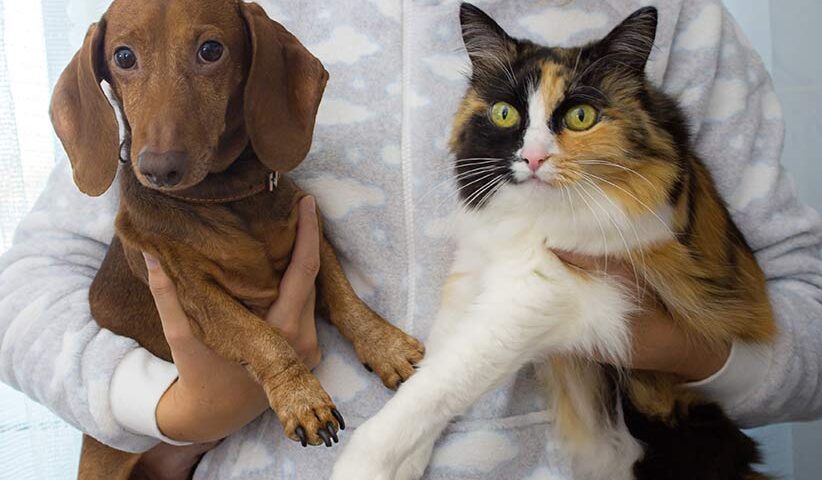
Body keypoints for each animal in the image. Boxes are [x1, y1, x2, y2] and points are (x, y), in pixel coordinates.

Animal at [50, 0, 425, 478]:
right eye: (123, 57)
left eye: (211, 50)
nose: (158, 169)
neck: (224, 196)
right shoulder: (192, 292)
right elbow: (261, 337)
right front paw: (302, 398)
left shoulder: (310, 234)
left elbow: (345, 298)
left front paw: (384, 346)